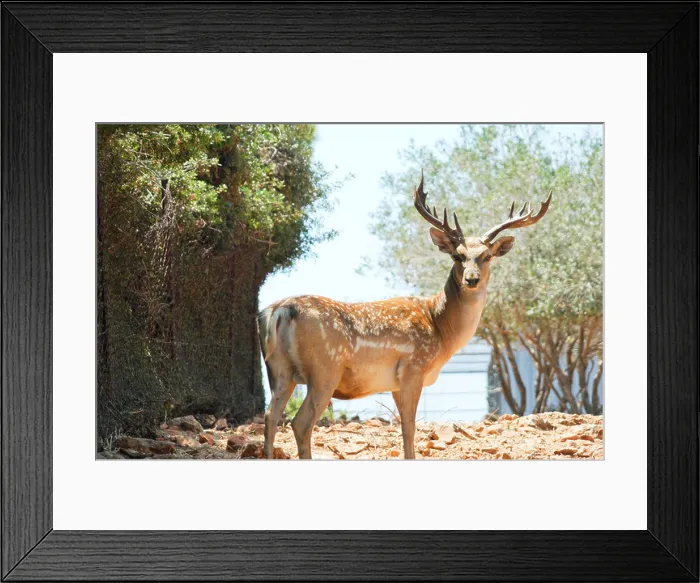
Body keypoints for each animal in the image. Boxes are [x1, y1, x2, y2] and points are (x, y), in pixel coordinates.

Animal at [257, 172, 552, 459]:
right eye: (457, 256)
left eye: (487, 256)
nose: (471, 279)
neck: (440, 328)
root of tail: (280, 311)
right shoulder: (413, 367)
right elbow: (409, 428)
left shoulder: (396, 382)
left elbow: (404, 428)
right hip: (324, 369)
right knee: (300, 422)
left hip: (279, 370)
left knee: (270, 416)